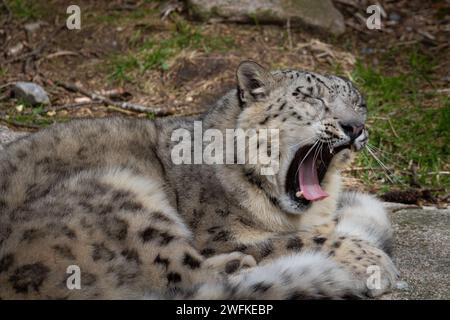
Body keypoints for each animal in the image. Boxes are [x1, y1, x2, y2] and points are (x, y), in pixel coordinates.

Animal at [0, 61, 398, 298]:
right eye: (310, 97)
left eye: (359, 103)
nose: (355, 126)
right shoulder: (219, 235)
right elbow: (299, 239)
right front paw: (374, 261)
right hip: (121, 196)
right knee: (184, 276)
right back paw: (239, 265)